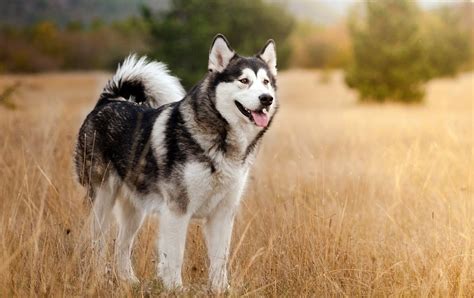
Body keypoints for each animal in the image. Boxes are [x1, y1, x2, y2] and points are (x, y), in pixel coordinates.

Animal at [73, 33, 278, 292]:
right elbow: (174, 257)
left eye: (266, 82)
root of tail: (107, 102)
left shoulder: (222, 214)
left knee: (122, 245)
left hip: (134, 210)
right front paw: (175, 289)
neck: (221, 140)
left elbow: (220, 259)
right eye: (244, 80)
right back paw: (99, 278)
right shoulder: (177, 211)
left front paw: (221, 290)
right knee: (97, 243)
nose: (267, 99)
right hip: (102, 199)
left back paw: (130, 281)